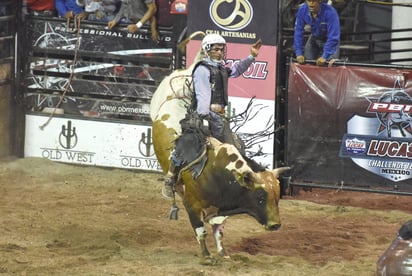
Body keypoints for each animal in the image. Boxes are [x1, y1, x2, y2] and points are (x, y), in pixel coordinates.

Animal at [150, 32, 288, 266]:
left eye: (277, 196)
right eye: (260, 197)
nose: (275, 224)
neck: (217, 172)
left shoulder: (221, 210)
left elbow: (218, 230)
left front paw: (222, 252)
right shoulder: (191, 205)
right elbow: (201, 231)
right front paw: (206, 256)